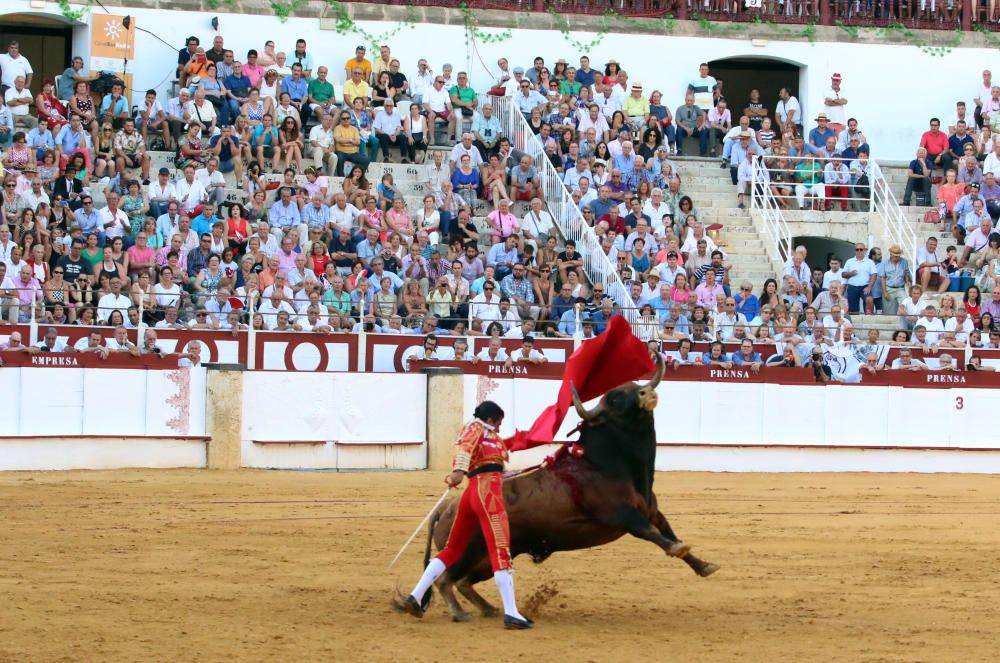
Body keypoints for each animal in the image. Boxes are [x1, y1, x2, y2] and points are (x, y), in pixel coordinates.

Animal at [422, 358, 720, 624]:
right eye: (614, 401)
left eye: (634, 386)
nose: (646, 393)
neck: (604, 465)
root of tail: (447, 508)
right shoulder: (622, 515)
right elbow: (652, 533)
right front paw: (677, 549)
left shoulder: (653, 511)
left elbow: (668, 531)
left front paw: (703, 565)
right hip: (469, 550)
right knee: (445, 579)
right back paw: (460, 613)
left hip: (487, 557)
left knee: (464, 581)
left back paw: (489, 609)